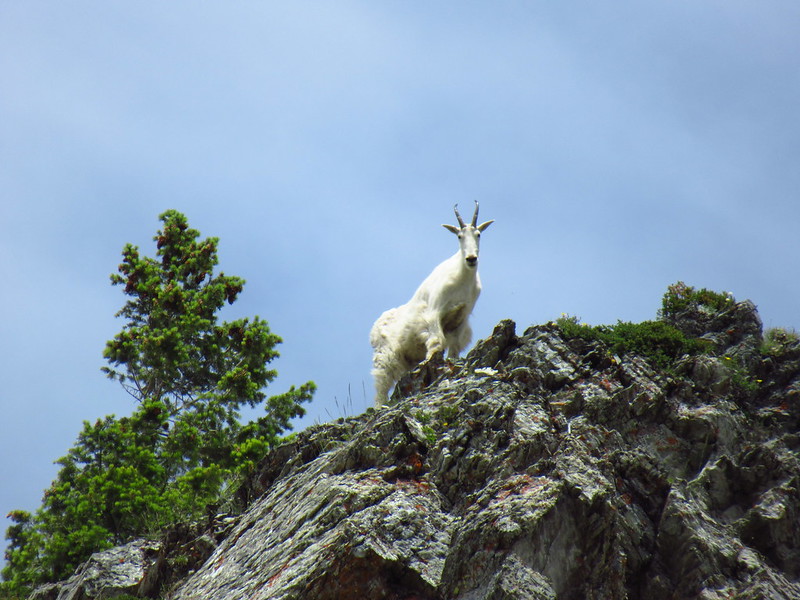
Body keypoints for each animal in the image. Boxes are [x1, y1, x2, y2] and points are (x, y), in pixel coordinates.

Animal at [370, 204, 494, 406]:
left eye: (478, 234)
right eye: (459, 236)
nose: (471, 258)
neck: (462, 279)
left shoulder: (461, 319)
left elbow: (453, 350)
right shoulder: (434, 314)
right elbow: (437, 343)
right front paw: (431, 366)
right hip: (385, 357)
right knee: (381, 384)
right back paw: (380, 405)